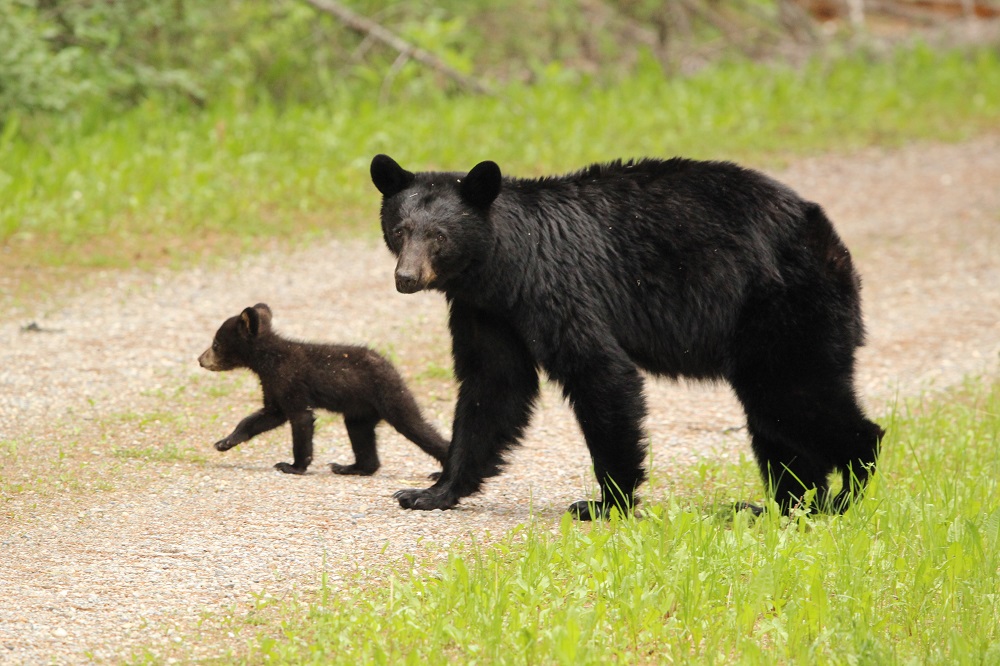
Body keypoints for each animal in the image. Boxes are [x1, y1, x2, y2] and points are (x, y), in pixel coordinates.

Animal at [197, 304, 448, 474]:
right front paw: (225, 442)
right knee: (361, 434)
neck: (268, 360)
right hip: (360, 412)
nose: (200, 359)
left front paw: (293, 465)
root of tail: (392, 368)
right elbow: (267, 415)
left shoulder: (290, 380)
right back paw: (351, 467)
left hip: (389, 395)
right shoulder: (272, 385)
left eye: (216, 344)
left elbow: (301, 419)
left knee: (416, 426)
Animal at [374, 153, 884, 516]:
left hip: (784, 308)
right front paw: (432, 491)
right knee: (775, 421)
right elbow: (492, 386)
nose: (406, 278)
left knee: (796, 397)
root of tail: (831, 241)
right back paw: (781, 505)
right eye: (400, 230)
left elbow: (600, 372)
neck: (504, 268)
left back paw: (844, 494)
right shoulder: (486, 311)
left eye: (439, 236)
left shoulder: (556, 289)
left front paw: (605, 503)